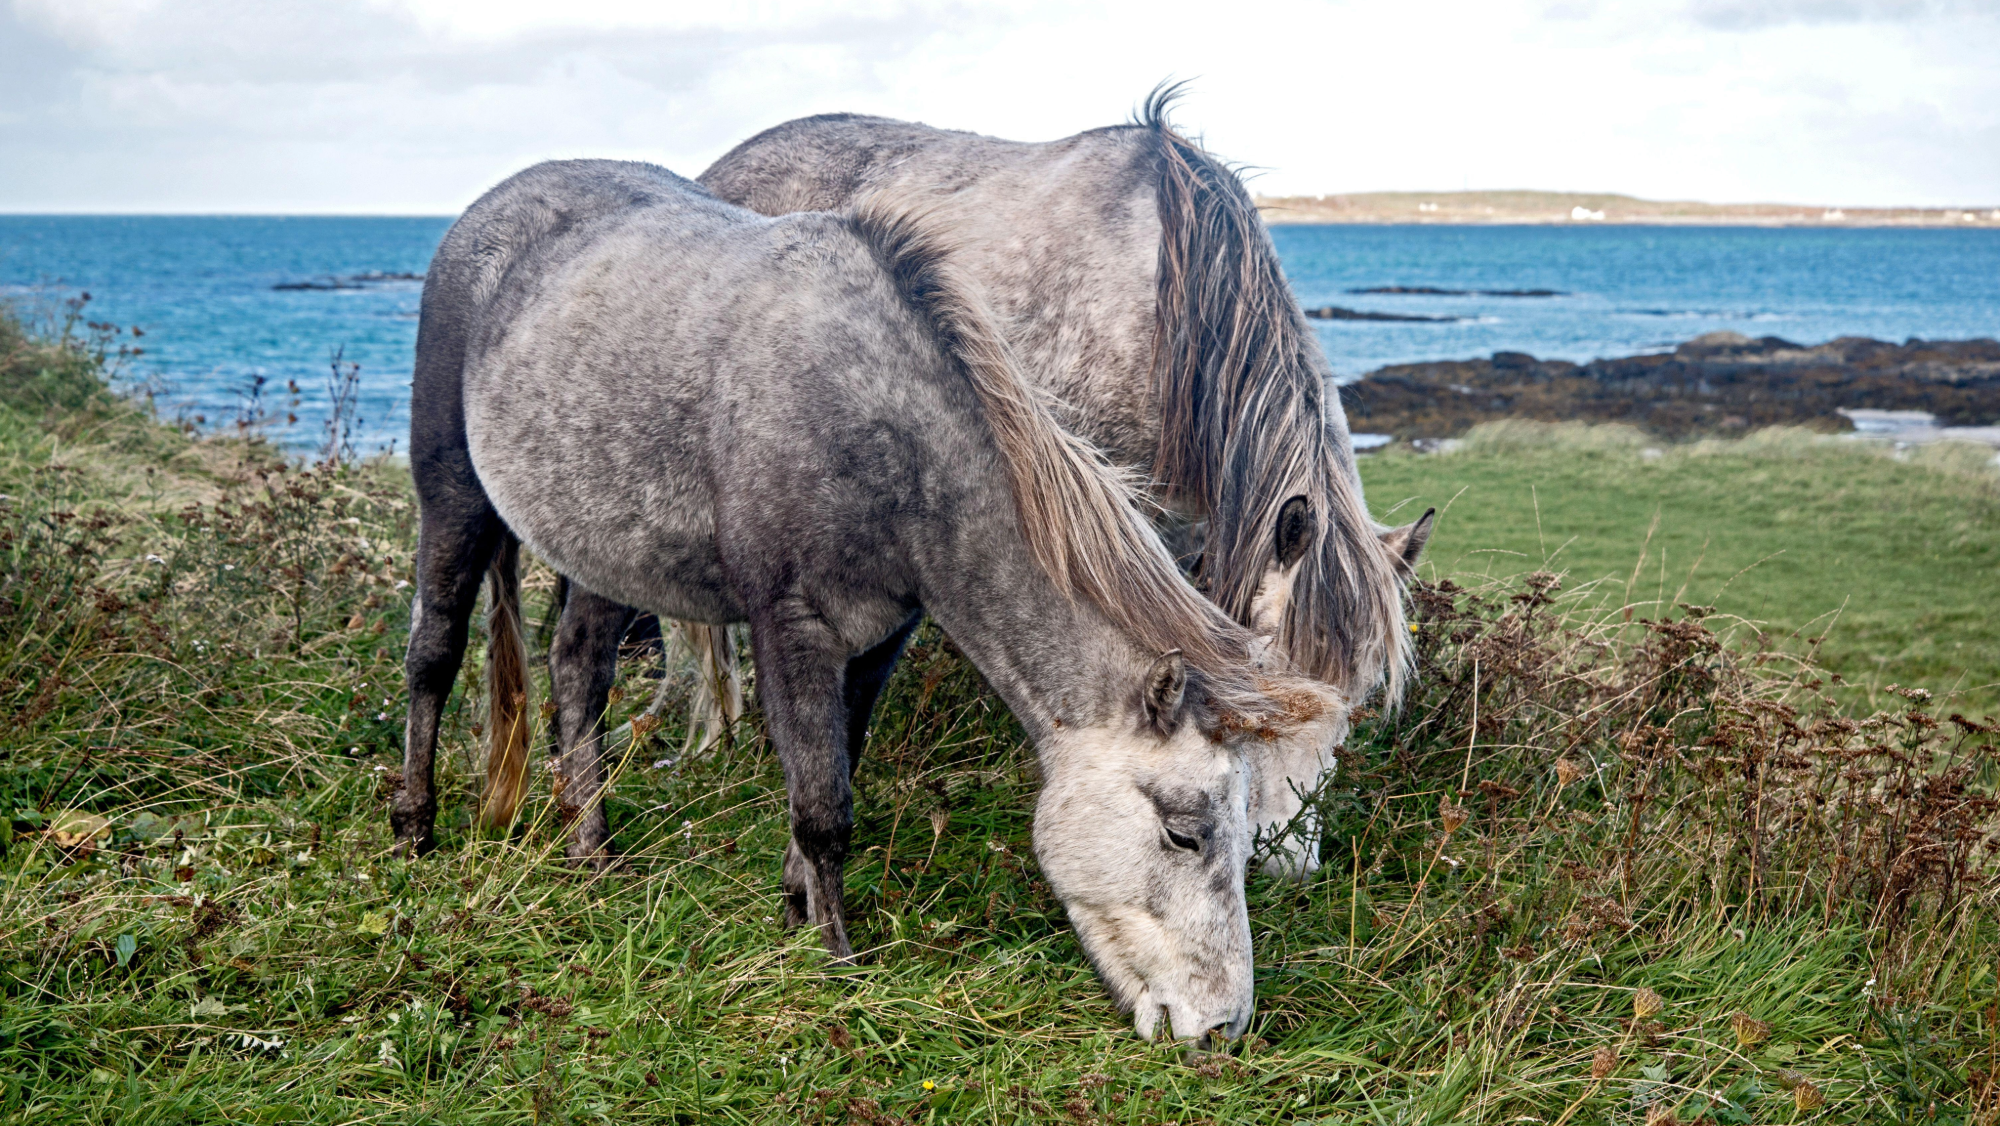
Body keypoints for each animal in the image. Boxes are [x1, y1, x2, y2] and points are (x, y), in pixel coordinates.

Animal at [391, 158, 1346, 1043]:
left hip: (603, 551)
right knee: (434, 655)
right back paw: (414, 829)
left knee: (578, 672)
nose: (1221, 1027)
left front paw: (796, 913)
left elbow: (836, 764)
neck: (881, 432)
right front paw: (837, 968)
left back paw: (591, 851)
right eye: (1184, 832)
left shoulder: (879, 639)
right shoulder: (791, 628)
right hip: (454, 500)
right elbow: (824, 808)